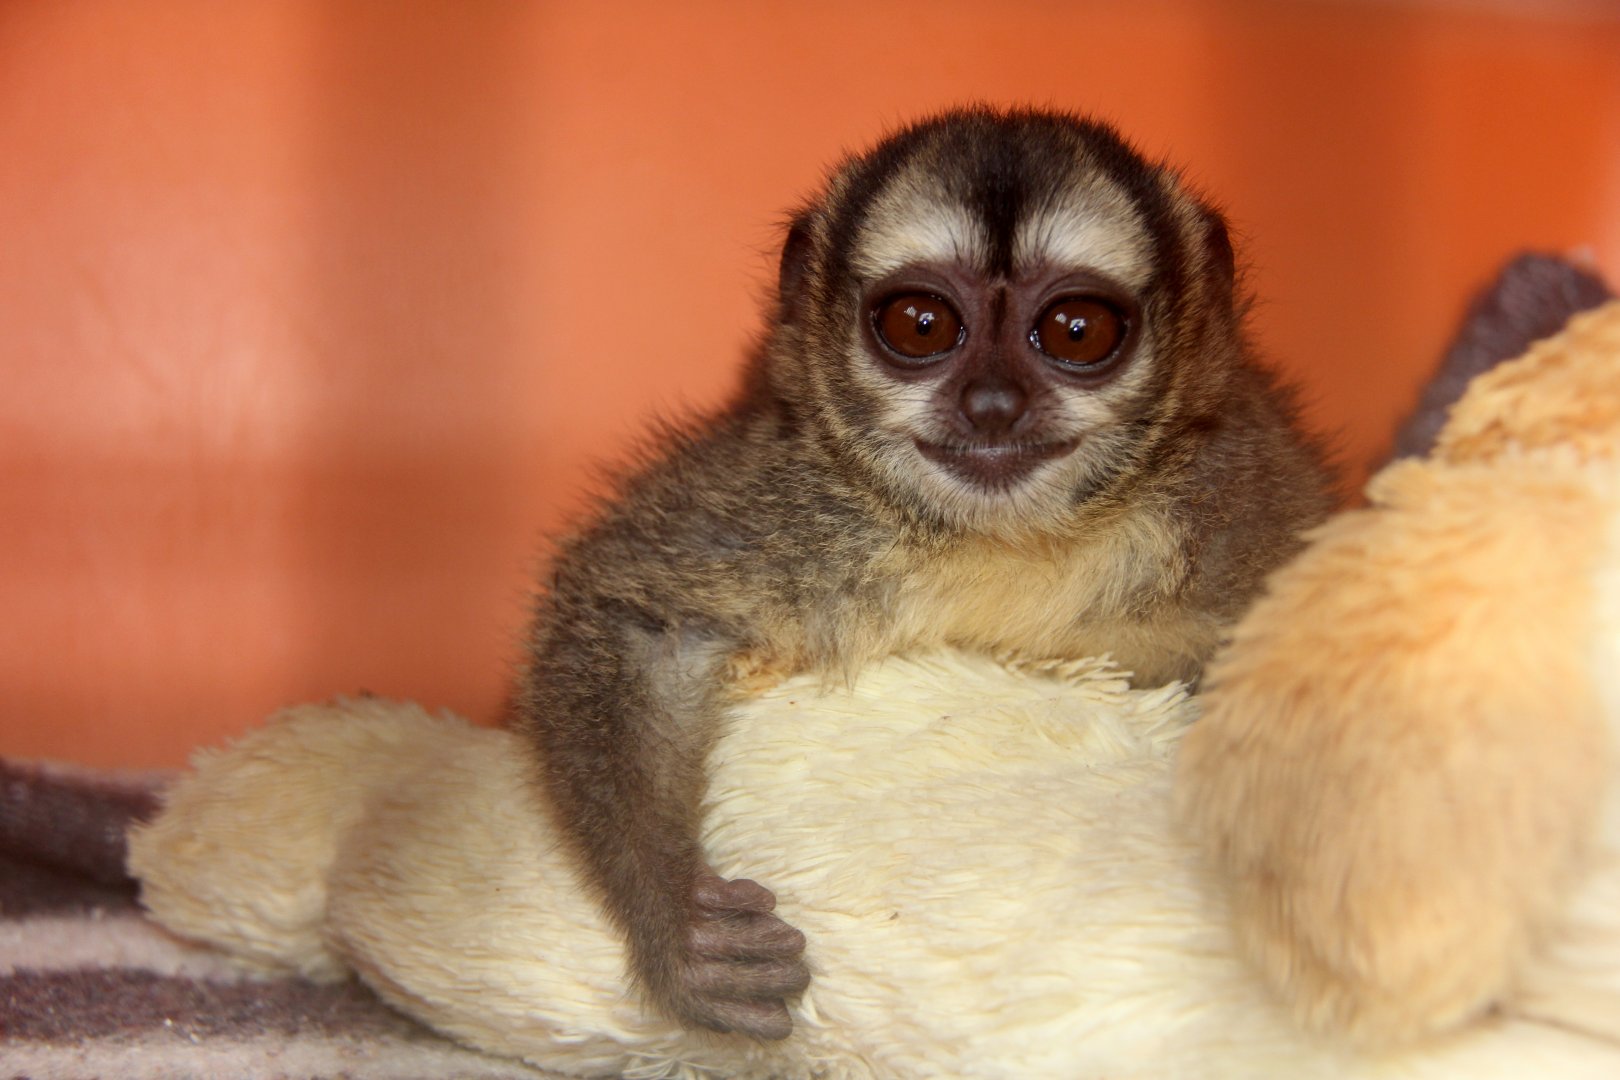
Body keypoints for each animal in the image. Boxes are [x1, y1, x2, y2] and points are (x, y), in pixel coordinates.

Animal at [516, 107, 1336, 1042]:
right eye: (921, 325)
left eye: (1077, 331)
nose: (992, 405)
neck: (999, 540)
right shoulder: (783, 491)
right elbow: (632, 610)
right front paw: (683, 928)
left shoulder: (1242, 496)